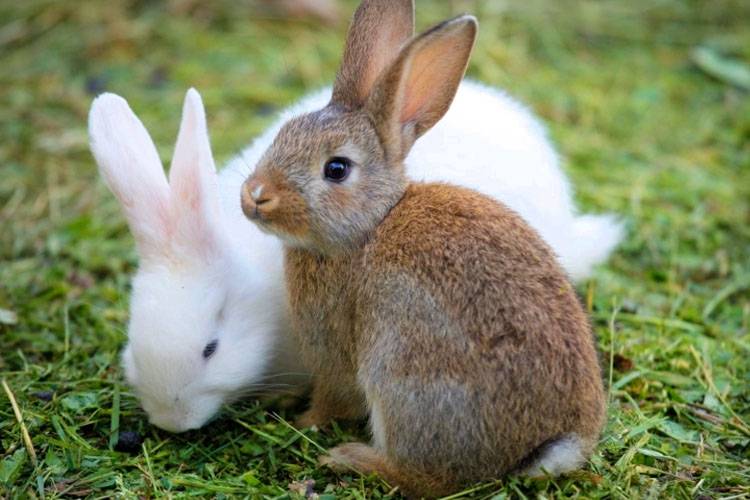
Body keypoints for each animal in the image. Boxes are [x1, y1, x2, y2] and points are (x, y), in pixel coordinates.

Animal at [239, 1, 606, 496]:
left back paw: (351, 459)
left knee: (429, 477)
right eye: (284, 134)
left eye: (336, 169)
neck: (370, 226)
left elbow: (332, 399)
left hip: (403, 375)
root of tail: (549, 444)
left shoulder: (335, 351)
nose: (255, 195)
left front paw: (302, 420)